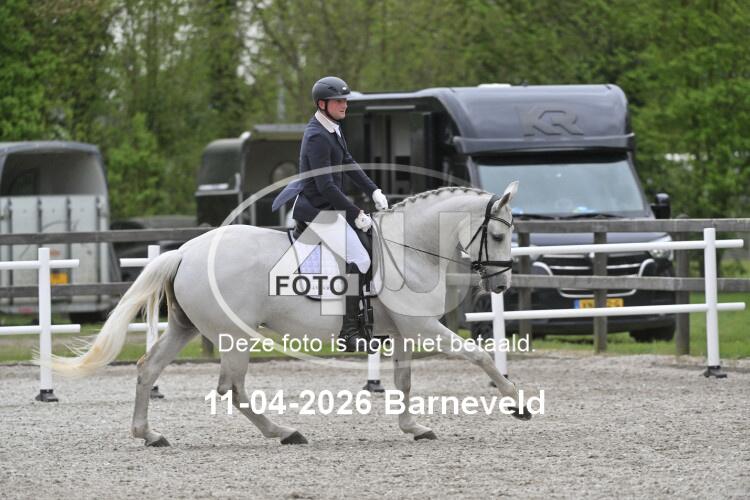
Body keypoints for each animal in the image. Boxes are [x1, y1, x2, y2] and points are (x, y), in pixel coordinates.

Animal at [39, 182, 529, 446]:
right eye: (498, 235)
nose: (501, 286)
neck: (411, 247)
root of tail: (184, 252)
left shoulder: (406, 331)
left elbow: (404, 381)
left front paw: (413, 426)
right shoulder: (425, 327)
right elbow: (479, 356)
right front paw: (517, 402)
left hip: (185, 328)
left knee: (148, 368)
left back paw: (150, 434)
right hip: (234, 336)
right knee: (232, 388)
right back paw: (284, 432)